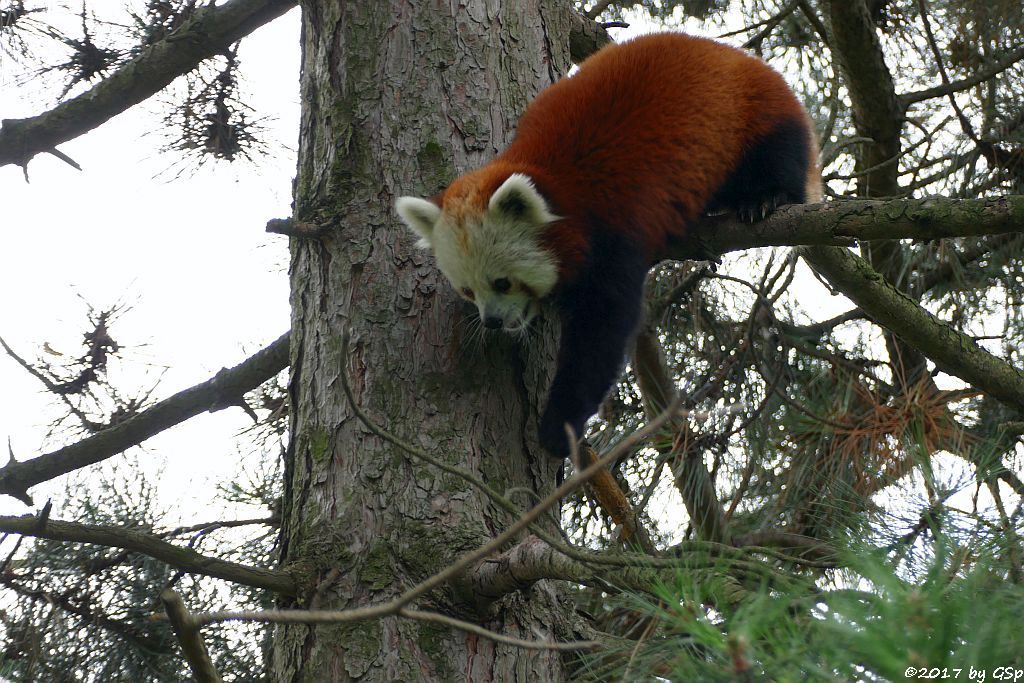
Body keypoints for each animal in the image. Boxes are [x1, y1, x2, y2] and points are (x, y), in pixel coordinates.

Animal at [395, 33, 819, 458]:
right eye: (468, 290)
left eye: (503, 282)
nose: (492, 321)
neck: (557, 183)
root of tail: (741, 57)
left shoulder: (614, 227)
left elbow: (601, 329)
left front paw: (559, 427)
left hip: (758, 117)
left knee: (778, 157)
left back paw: (764, 198)